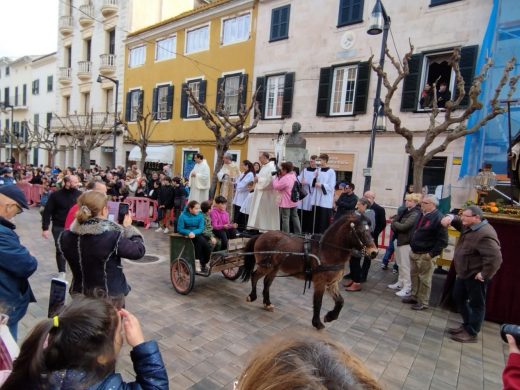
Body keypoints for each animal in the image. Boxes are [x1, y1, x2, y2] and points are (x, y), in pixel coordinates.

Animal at [240, 213, 378, 330]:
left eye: (370, 231)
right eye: (360, 231)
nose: (374, 252)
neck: (326, 251)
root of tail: (262, 235)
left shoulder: (332, 283)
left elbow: (340, 301)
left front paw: (329, 317)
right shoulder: (320, 282)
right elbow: (318, 302)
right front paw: (317, 323)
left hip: (274, 268)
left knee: (267, 282)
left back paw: (267, 303)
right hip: (266, 266)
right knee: (255, 276)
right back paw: (252, 296)